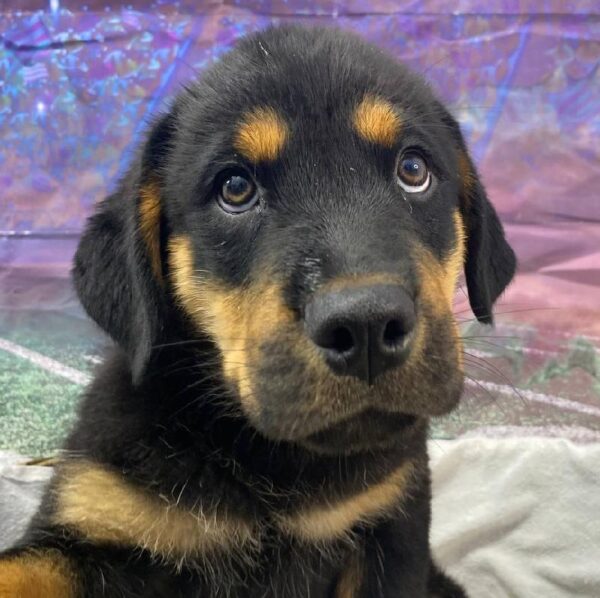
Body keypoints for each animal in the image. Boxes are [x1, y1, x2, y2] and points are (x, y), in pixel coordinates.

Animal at [0, 24, 516, 598]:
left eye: (413, 169)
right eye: (235, 188)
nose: (366, 326)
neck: (267, 463)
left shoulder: (390, 528)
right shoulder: (100, 517)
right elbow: (23, 567)